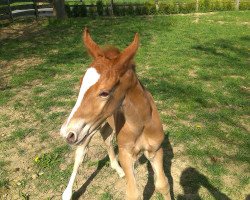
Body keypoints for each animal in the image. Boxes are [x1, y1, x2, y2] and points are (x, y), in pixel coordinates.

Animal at [59, 28, 171, 200]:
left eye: (104, 92)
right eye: (80, 85)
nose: (66, 133)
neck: (141, 124)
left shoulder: (156, 150)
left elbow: (163, 185)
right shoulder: (126, 154)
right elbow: (133, 194)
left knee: (106, 136)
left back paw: (117, 169)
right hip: (86, 132)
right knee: (80, 155)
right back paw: (67, 193)